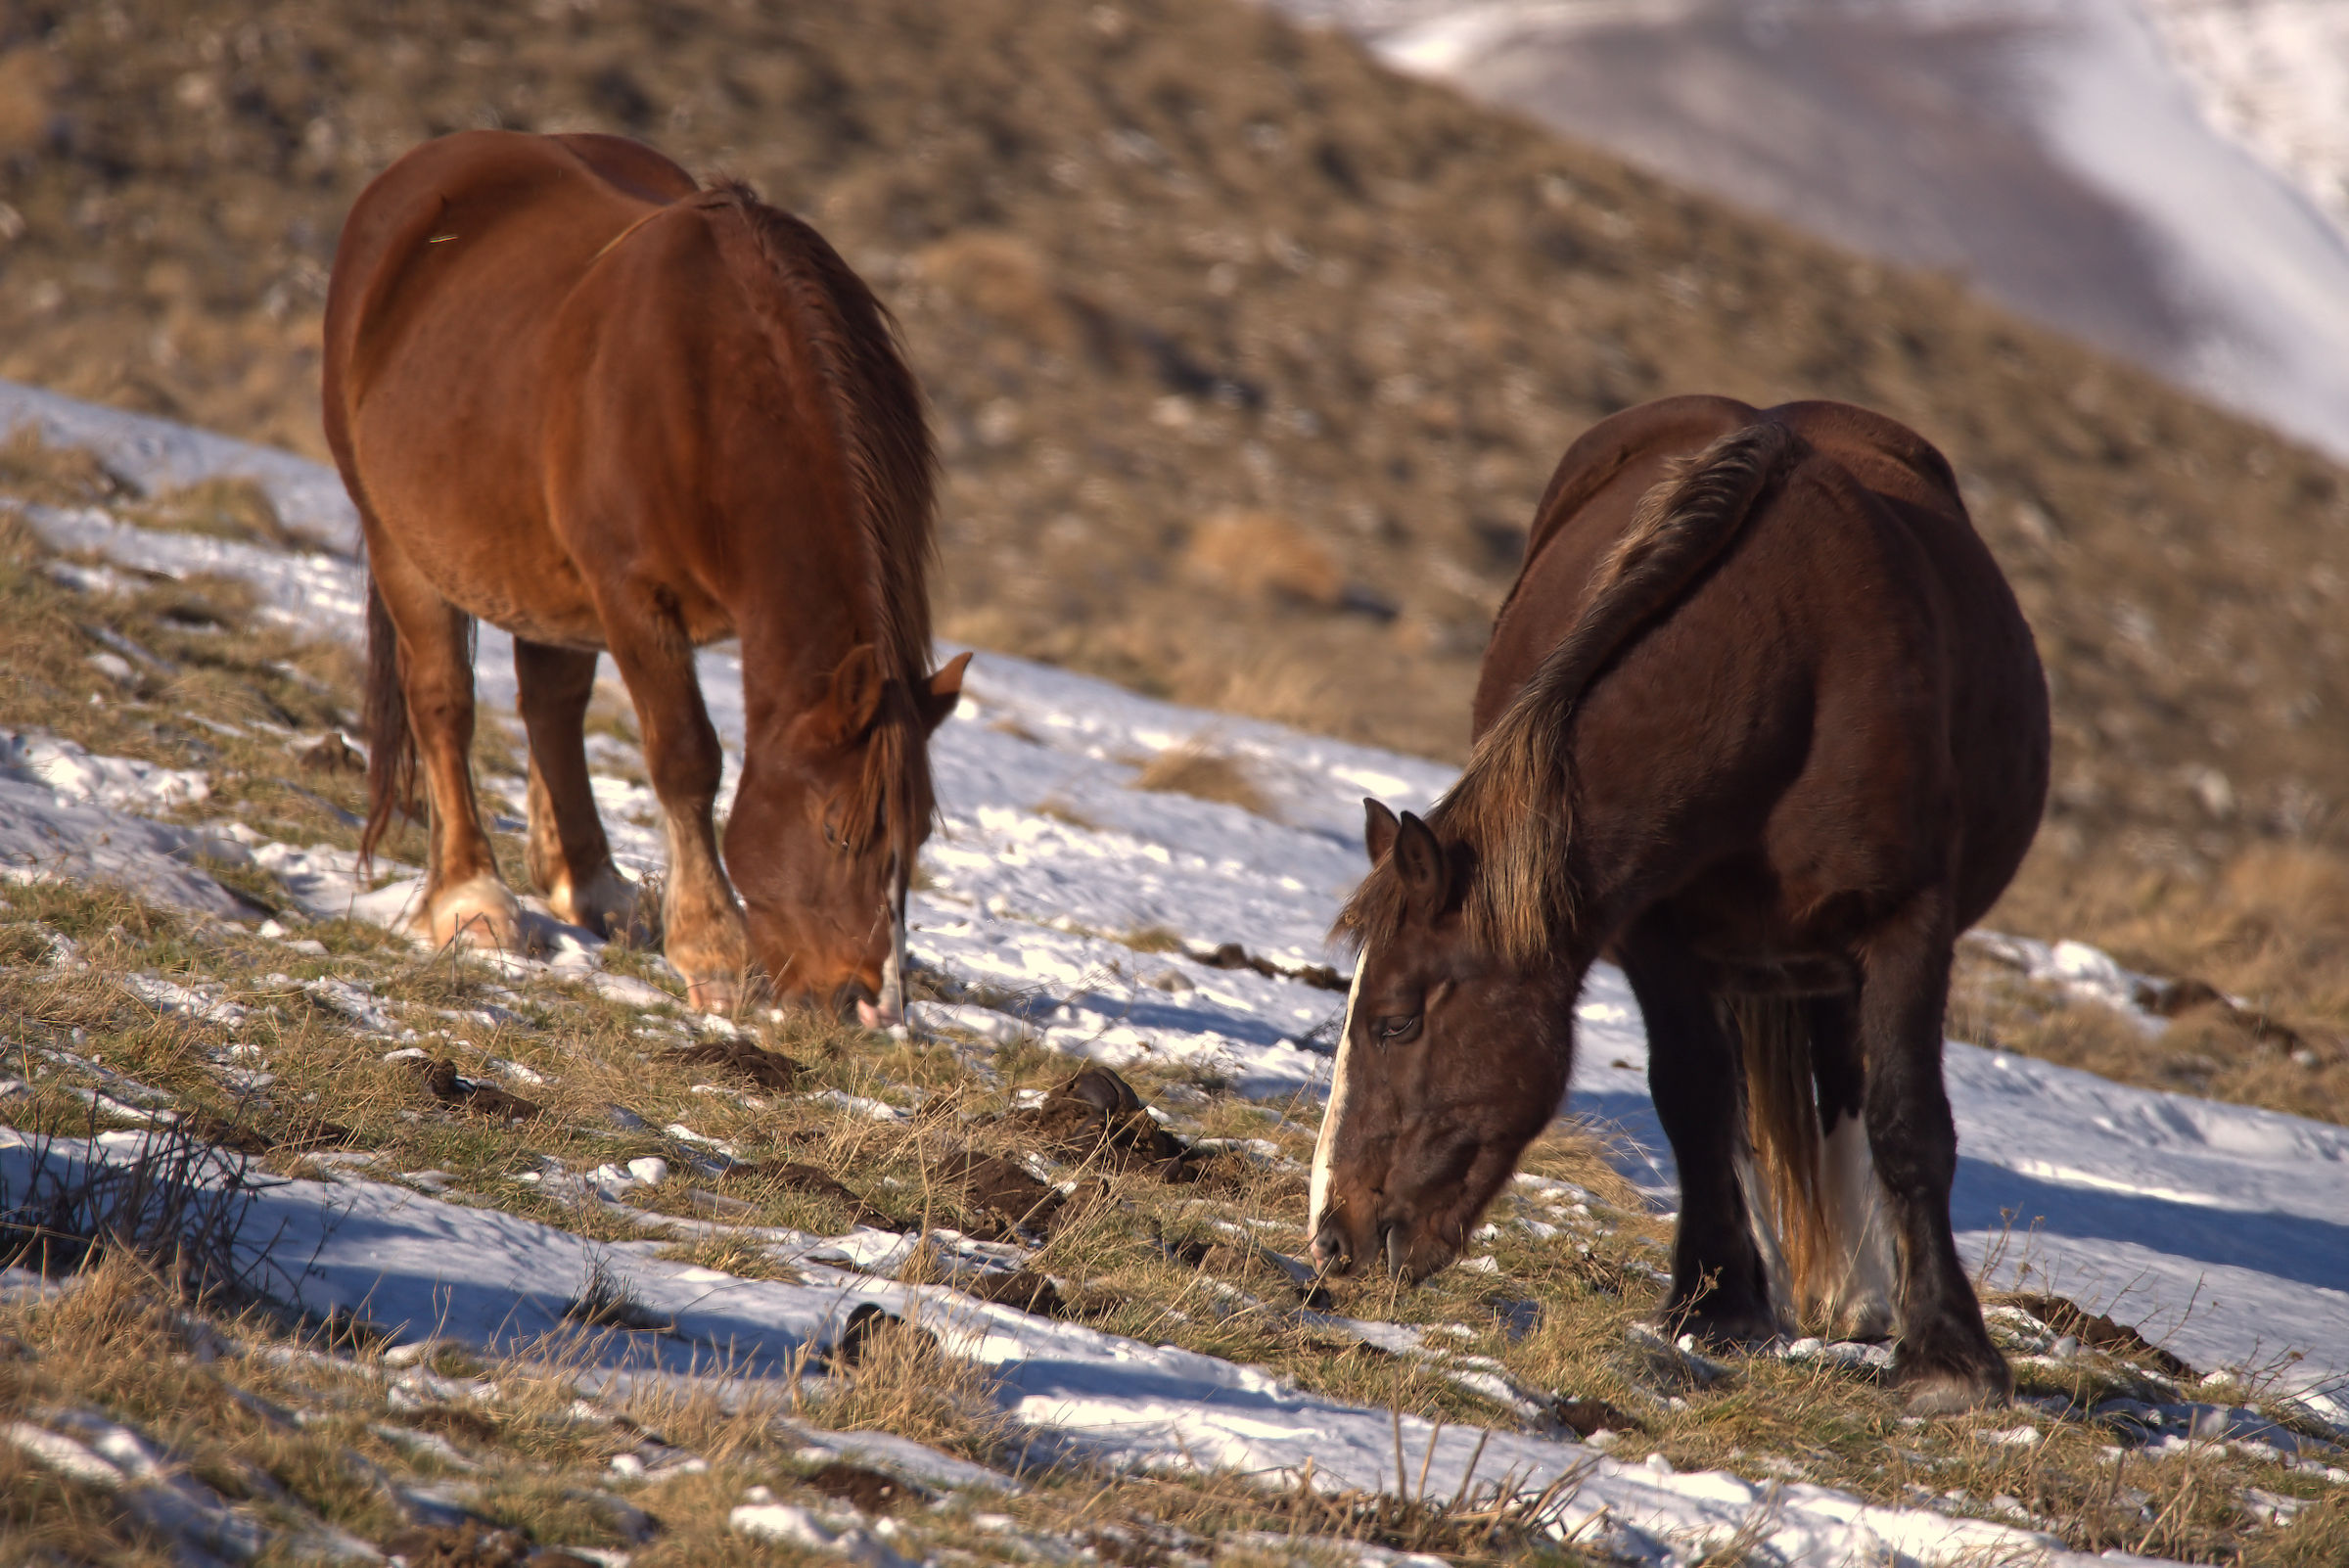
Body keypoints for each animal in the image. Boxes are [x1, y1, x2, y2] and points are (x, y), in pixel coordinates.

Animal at [322, 130, 968, 1022]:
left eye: (917, 837)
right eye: (837, 828)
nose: (872, 1005)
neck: (709, 393)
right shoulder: (631, 597)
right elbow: (686, 757)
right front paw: (716, 952)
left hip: (535, 570)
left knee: (551, 704)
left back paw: (588, 881)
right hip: (400, 542)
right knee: (443, 703)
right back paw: (470, 897)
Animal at [1308, 396, 2050, 1412]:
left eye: (1396, 1022)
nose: (1332, 1237)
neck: (1788, 667)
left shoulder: (1906, 922)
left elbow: (1908, 1121)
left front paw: (1949, 1356)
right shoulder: (1659, 937)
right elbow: (1694, 1101)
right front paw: (1721, 1304)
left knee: (1843, 1081)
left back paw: (1857, 1298)